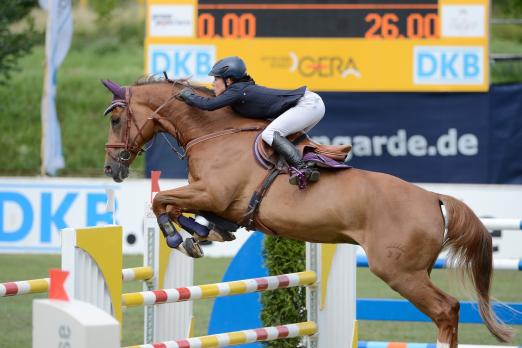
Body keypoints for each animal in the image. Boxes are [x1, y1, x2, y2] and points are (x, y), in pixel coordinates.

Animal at [101, 77, 512, 346]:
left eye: (116, 119)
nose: (110, 169)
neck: (214, 132)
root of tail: (432, 198)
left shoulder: (212, 192)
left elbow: (160, 201)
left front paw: (178, 237)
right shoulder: (219, 201)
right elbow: (180, 208)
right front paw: (201, 235)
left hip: (399, 272)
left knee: (447, 310)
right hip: (414, 270)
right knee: (448, 311)